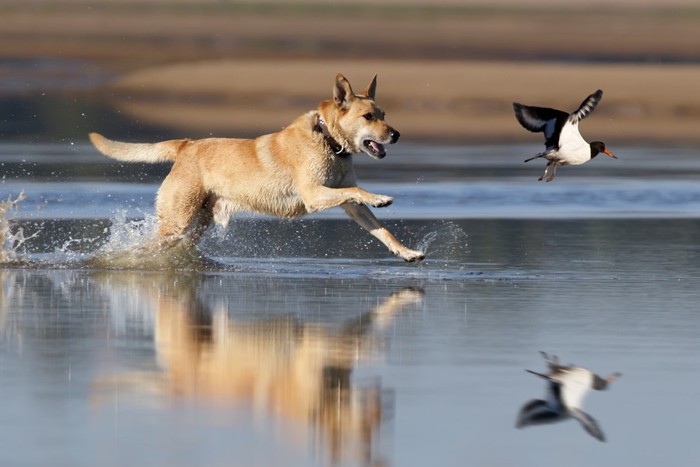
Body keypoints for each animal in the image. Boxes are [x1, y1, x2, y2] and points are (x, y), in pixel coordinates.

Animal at [90, 75, 424, 262]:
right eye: (368, 116)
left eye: (384, 114)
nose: (396, 135)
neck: (328, 140)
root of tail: (185, 145)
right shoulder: (314, 195)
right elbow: (358, 190)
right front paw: (381, 197)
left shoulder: (348, 204)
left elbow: (380, 228)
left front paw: (405, 251)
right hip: (178, 221)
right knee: (148, 246)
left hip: (196, 224)